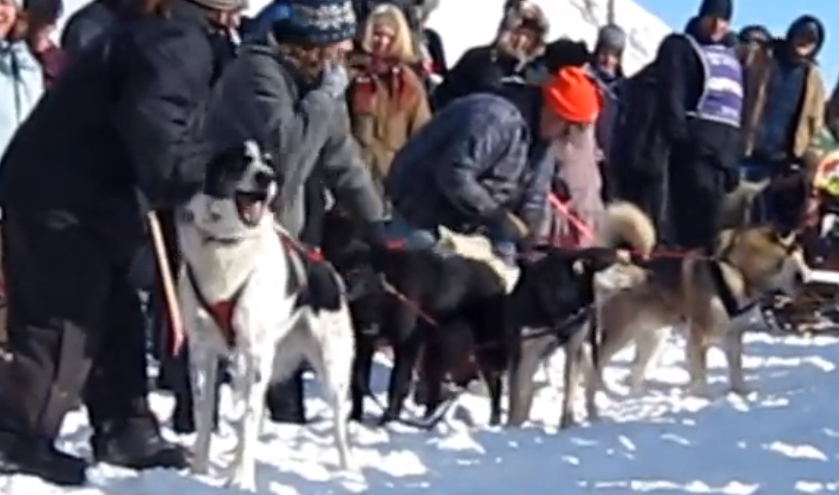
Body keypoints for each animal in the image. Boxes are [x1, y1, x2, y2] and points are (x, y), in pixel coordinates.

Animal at [179, 141, 356, 490]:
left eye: (269, 163)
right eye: (241, 161)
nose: (266, 177)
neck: (228, 243)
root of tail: (326, 269)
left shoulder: (254, 351)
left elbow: (248, 419)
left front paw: (241, 481)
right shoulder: (202, 351)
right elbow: (204, 414)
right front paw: (198, 473)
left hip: (330, 367)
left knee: (338, 422)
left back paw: (347, 471)